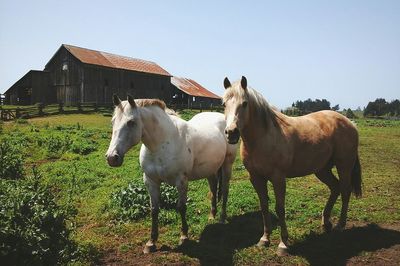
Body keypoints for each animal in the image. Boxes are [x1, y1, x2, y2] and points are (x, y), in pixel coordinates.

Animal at [106, 95, 238, 254]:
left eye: (131, 122)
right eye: (113, 121)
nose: (112, 157)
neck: (162, 143)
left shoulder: (181, 181)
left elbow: (181, 207)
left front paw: (184, 236)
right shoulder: (150, 181)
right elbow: (154, 209)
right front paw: (151, 242)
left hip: (227, 165)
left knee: (225, 190)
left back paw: (222, 218)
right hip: (210, 170)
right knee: (213, 189)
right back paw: (212, 215)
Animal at [223, 76, 360, 255]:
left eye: (244, 103)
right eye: (223, 104)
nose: (231, 133)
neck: (263, 137)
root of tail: (350, 123)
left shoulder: (278, 178)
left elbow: (280, 208)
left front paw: (283, 244)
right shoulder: (256, 178)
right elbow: (264, 206)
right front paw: (264, 239)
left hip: (344, 166)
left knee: (345, 191)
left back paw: (340, 226)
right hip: (322, 170)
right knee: (335, 188)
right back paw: (326, 223)